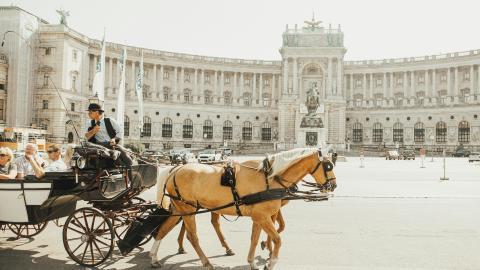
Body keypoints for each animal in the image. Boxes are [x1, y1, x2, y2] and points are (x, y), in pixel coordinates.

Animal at [148, 149, 336, 268]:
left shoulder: (259, 217)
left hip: (181, 208)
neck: (270, 178)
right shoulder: (263, 216)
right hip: (187, 208)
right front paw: (270, 262)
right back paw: (206, 262)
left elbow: (255, 238)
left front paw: (253, 261)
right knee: (192, 236)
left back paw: (154, 258)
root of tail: (176, 168)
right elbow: (277, 238)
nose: (333, 186)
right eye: (328, 166)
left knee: (163, 229)